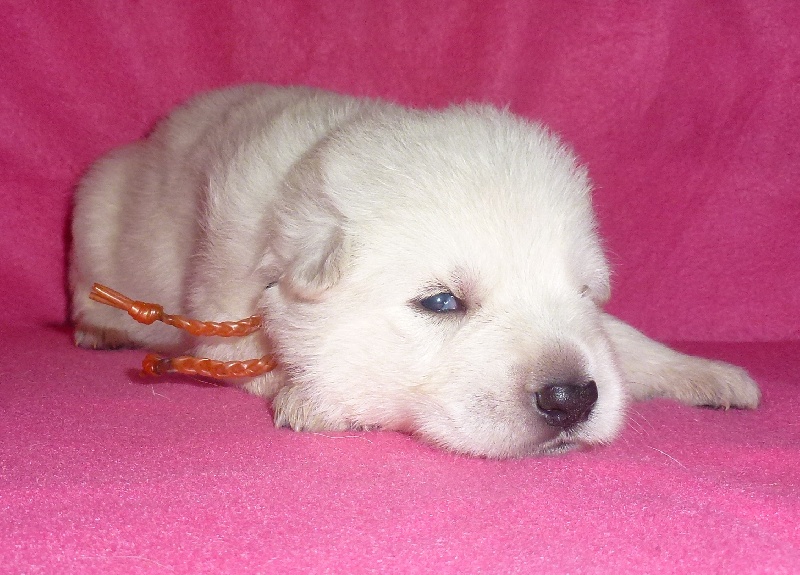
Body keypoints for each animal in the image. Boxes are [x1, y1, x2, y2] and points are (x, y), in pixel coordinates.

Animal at [69, 85, 760, 457]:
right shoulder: (218, 313)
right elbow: (267, 360)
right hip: (94, 208)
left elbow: (622, 340)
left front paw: (712, 374)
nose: (571, 398)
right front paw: (317, 400)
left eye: (584, 291)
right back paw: (99, 330)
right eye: (442, 303)